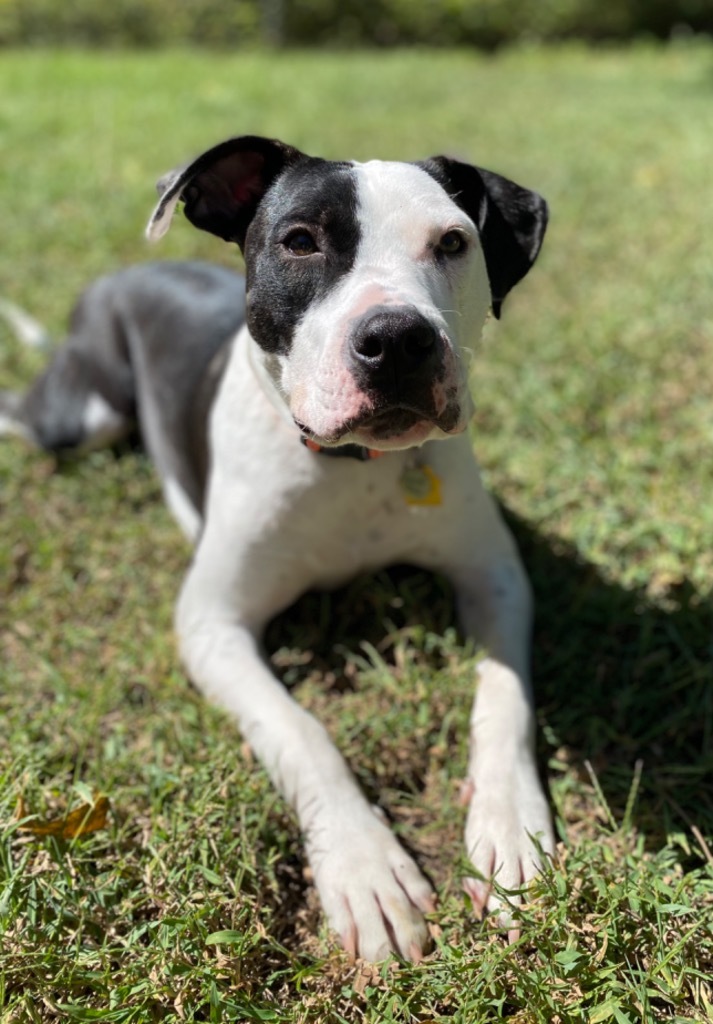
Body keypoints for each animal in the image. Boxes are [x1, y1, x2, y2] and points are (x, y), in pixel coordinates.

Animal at [0, 134, 553, 958]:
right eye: (299, 242)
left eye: (453, 243)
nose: (398, 339)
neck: (352, 466)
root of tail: (120, 276)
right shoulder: (212, 623)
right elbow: (300, 731)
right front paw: (365, 867)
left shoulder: (495, 576)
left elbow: (504, 697)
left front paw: (510, 825)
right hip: (82, 414)